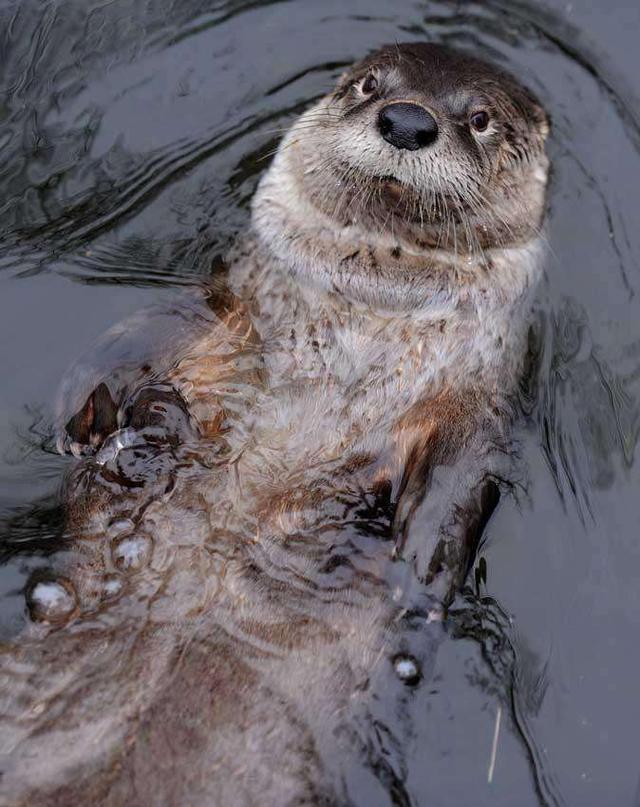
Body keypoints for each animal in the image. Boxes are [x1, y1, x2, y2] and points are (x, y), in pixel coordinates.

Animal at [1, 45, 552, 807]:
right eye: (368, 85)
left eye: (479, 119)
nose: (409, 121)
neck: (368, 312)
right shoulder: (226, 304)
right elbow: (145, 326)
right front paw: (90, 405)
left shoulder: (477, 403)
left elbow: (461, 482)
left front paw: (417, 560)